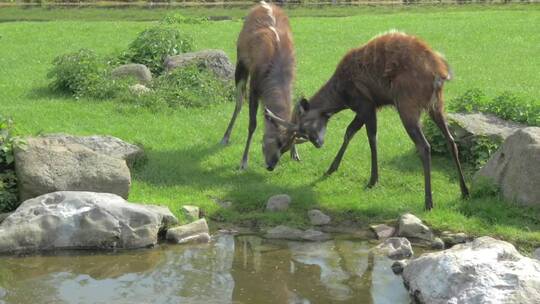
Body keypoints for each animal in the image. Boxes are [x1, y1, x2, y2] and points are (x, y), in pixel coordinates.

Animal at [221, 0, 302, 171]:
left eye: (284, 148)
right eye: (275, 140)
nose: (271, 165)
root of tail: (263, 3)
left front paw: (296, 154)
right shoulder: (255, 86)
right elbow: (252, 124)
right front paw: (243, 161)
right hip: (240, 64)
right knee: (239, 102)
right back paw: (225, 137)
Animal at [268, 30, 470, 209]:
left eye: (304, 126)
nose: (318, 143)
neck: (341, 96)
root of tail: (440, 74)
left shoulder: (365, 103)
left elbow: (369, 136)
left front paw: (372, 180)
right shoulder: (366, 107)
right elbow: (350, 132)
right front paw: (332, 168)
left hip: (407, 104)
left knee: (424, 146)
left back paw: (428, 201)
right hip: (437, 105)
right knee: (451, 141)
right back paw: (464, 191)